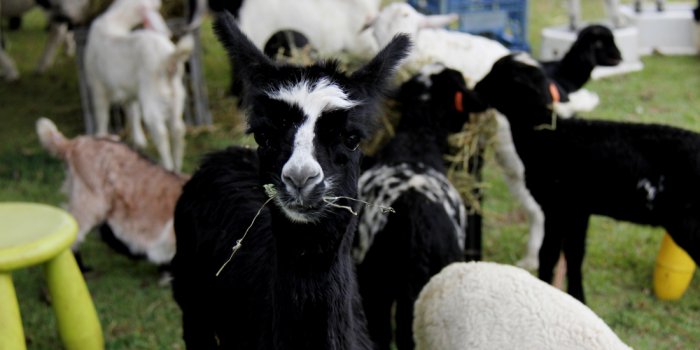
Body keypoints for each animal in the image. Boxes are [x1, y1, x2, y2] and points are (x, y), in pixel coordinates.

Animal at [85, 0, 194, 171]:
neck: (113, 22)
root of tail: (168, 61)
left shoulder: (98, 85)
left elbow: (102, 114)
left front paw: (100, 137)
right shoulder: (130, 92)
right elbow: (132, 113)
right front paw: (139, 142)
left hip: (153, 96)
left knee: (161, 132)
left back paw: (167, 166)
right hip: (177, 94)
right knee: (178, 129)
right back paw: (177, 167)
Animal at [470, 52, 700, 304]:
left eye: (498, 75)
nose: (475, 89)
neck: (549, 136)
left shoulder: (558, 206)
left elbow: (550, 253)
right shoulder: (578, 210)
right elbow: (573, 253)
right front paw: (575, 297)